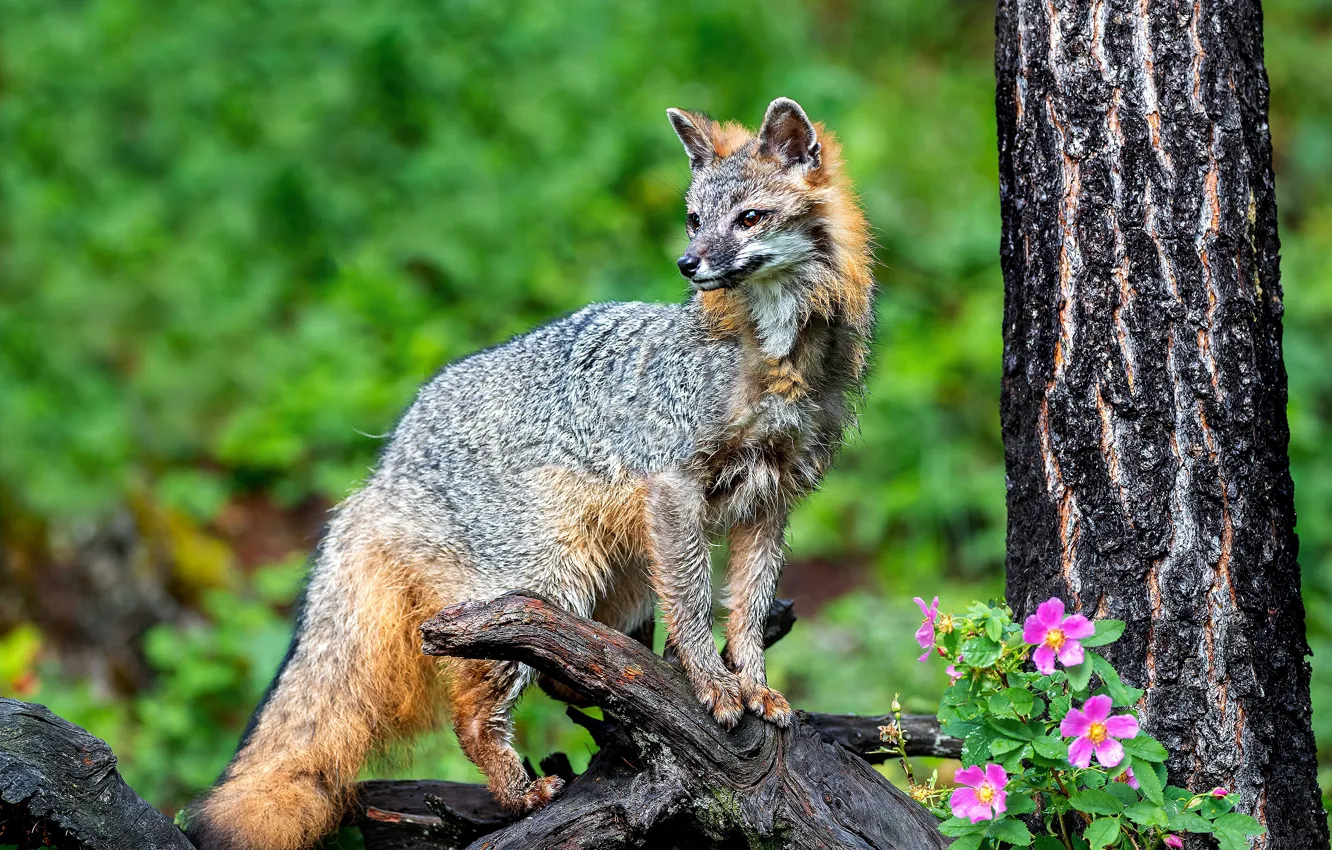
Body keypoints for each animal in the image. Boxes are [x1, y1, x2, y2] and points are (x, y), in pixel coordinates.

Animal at [187, 98, 873, 850]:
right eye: (695, 218)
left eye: (748, 218)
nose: (688, 264)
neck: (774, 358)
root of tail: (384, 468)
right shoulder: (674, 484)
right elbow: (696, 610)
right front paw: (713, 686)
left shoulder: (772, 500)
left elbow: (746, 612)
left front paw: (752, 685)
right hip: (543, 586)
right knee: (472, 709)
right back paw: (520, 793)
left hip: (619, 583)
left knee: (578, 670)